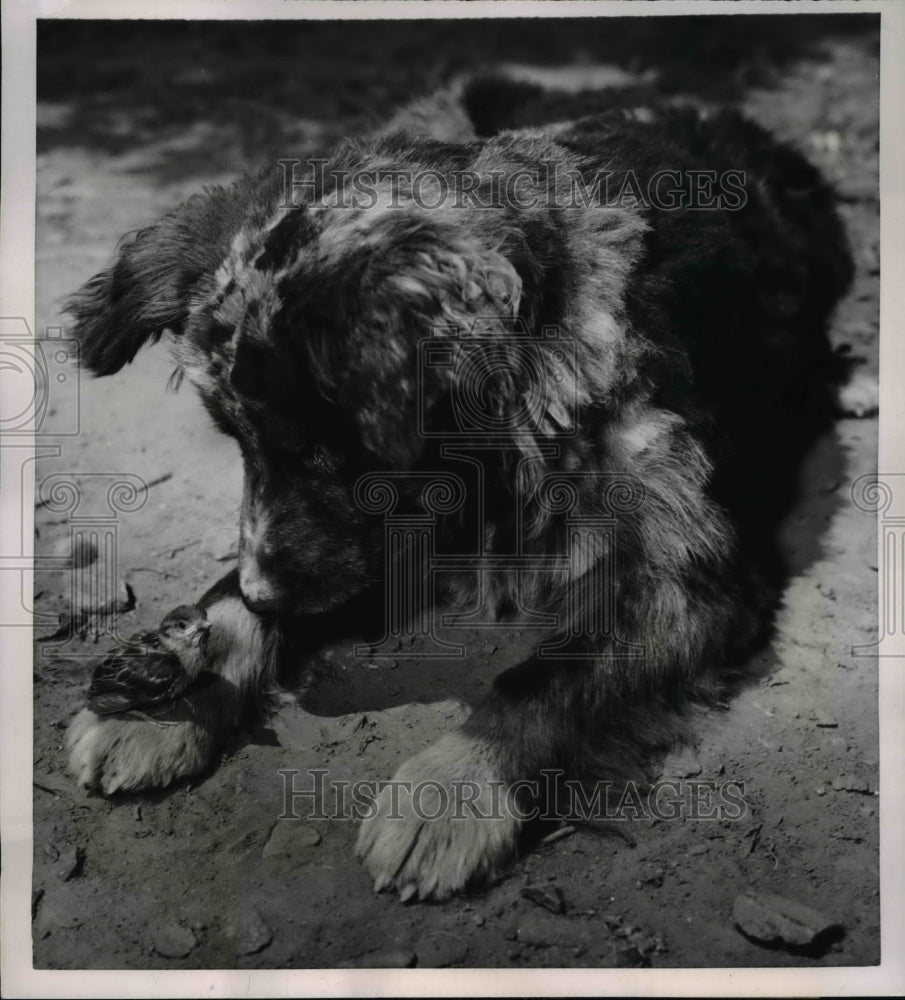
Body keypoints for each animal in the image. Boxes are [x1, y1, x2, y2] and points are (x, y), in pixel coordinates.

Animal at [65, 78, 860, 900]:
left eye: (323, 452)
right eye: (237, 440)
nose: (267, 597)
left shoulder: (691, 577)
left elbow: (546, 678)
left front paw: (452, 788)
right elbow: (226, 591)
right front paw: (180, 679)